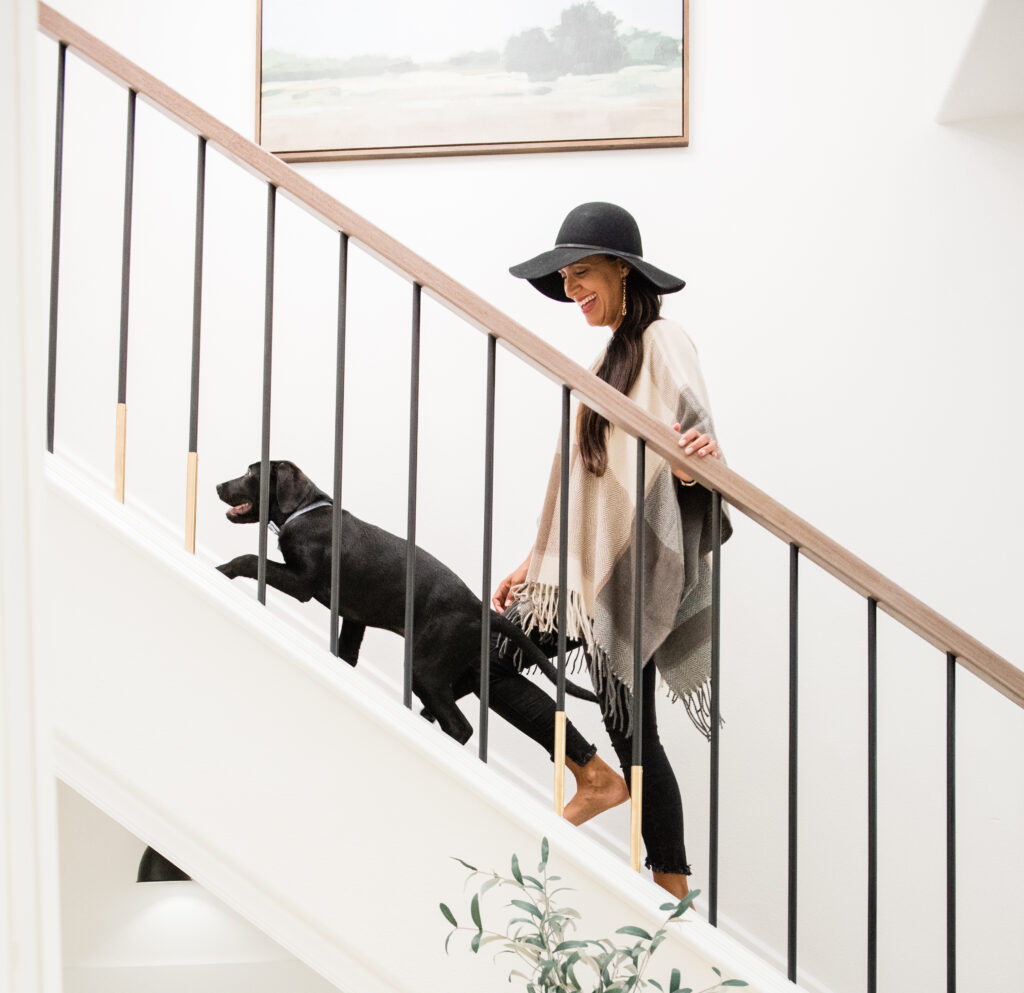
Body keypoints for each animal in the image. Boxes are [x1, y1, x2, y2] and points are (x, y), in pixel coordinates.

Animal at [219, 460, 598, 741]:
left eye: (251, 473)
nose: (219, 486)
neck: (306, 511)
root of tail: (478, 608)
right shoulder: (355, 618)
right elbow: (347, 654)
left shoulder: (302, 583)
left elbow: (250, 559)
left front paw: (222, 570)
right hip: (457, 670)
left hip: (425, 669)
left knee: (461, 726)